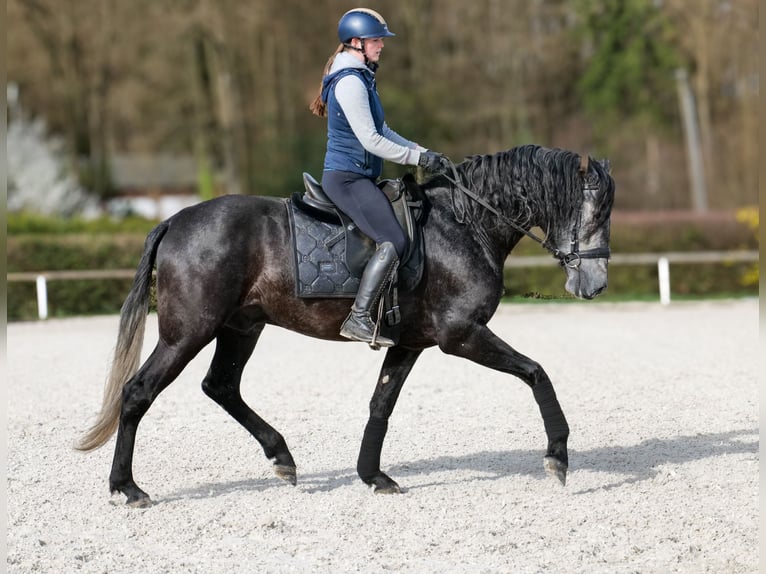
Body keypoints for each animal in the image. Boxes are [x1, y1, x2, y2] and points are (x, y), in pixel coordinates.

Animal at [77, 144, 615, 507]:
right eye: (594, 211)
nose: (596, 285)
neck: (465, 224)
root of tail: (175, 220)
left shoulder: (411, 343)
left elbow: (381, 403)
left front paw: (373, 475)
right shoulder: (461, 336)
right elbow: (537, 373)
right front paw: (558, 456)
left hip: (240, 328)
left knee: (221, 386)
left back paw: (282, 457)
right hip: (188, 331)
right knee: (138, 391)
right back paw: (127, 488)